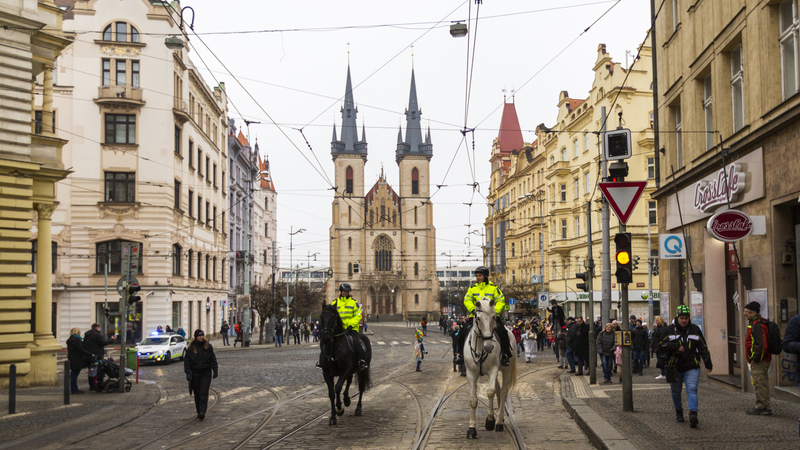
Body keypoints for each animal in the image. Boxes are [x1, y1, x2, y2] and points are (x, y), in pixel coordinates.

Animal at [462, 298, 520, 438]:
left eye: (494, 317)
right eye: (477, 318)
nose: (489, 346)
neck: (480, 347)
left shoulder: (493, 371)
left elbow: (490, 392)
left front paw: (490, 421)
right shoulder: (471, 374)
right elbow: (473, 400)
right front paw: (472, 428)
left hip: (506, 370)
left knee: (503, 391)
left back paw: (498, 422)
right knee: (499, 389)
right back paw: (501, 418)